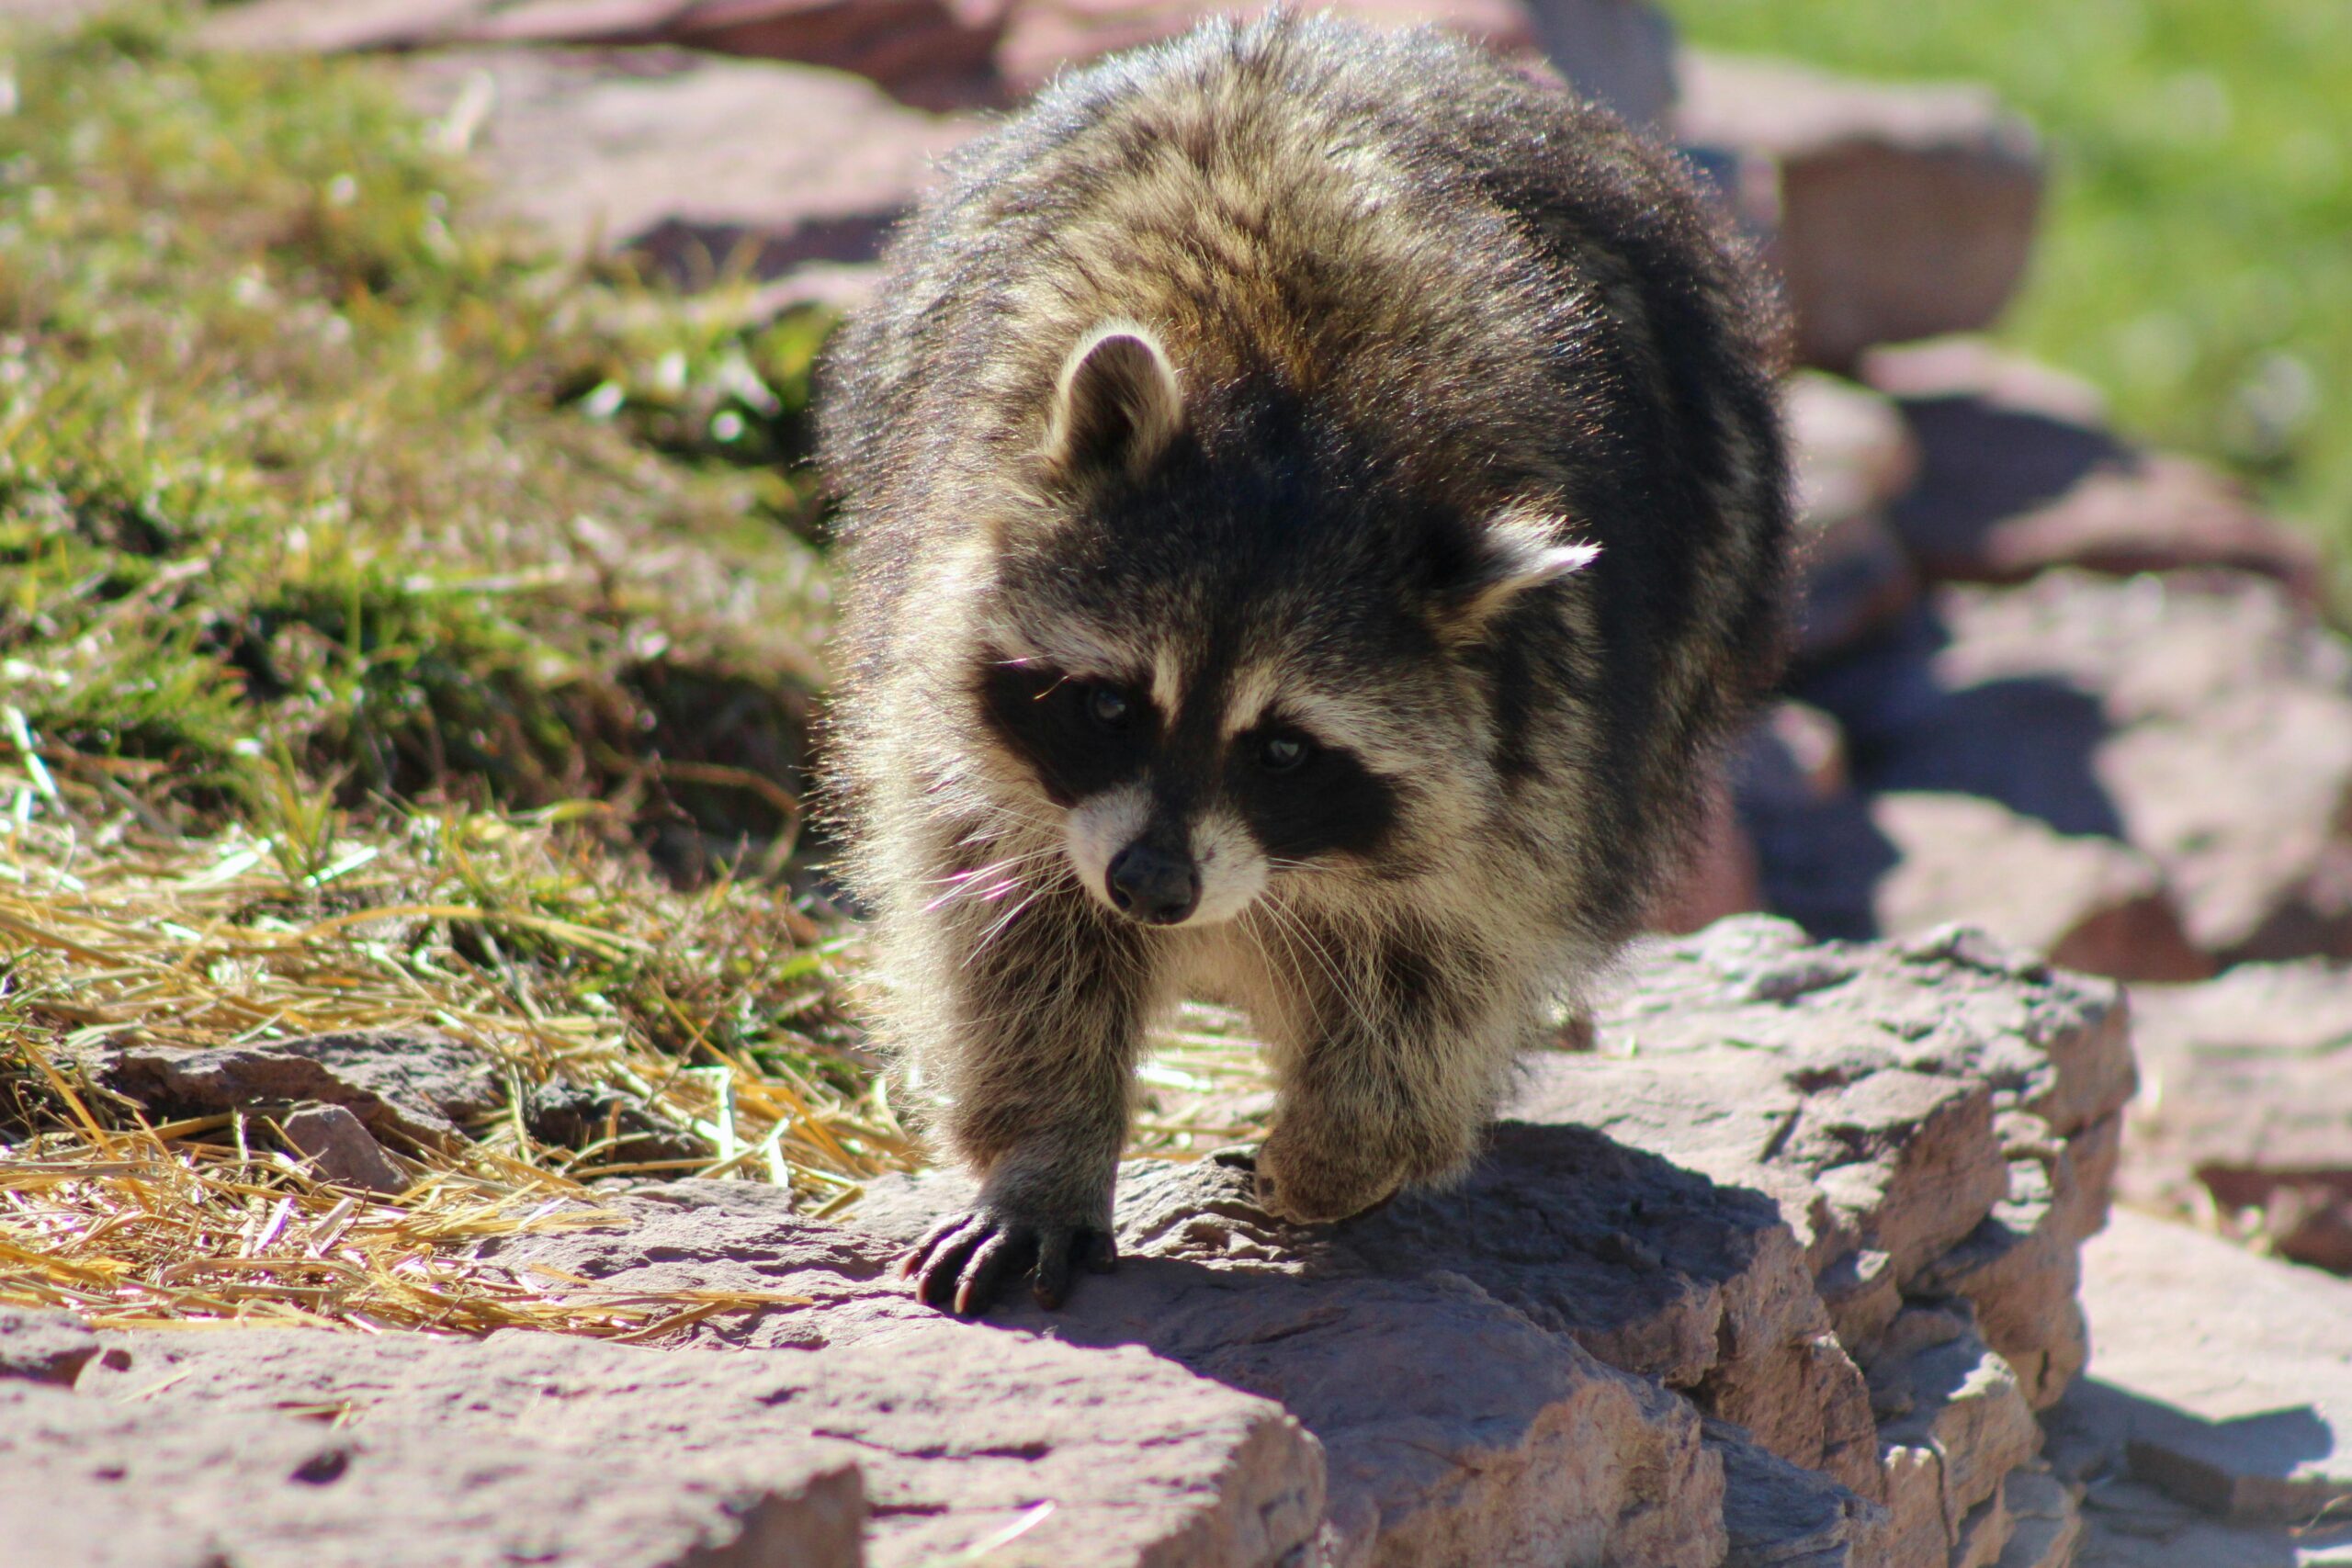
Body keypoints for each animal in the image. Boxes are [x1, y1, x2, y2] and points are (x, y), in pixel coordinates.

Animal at [820, 11, 1791, 1315]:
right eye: (1109, 704)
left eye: (1282, 749)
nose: (1152, 887)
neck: (1289, 391)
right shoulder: (959, 700)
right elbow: (1007, 926)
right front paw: (1045, 1151)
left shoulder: (1551, 712)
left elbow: (1450, 955)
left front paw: (1346, 1149)